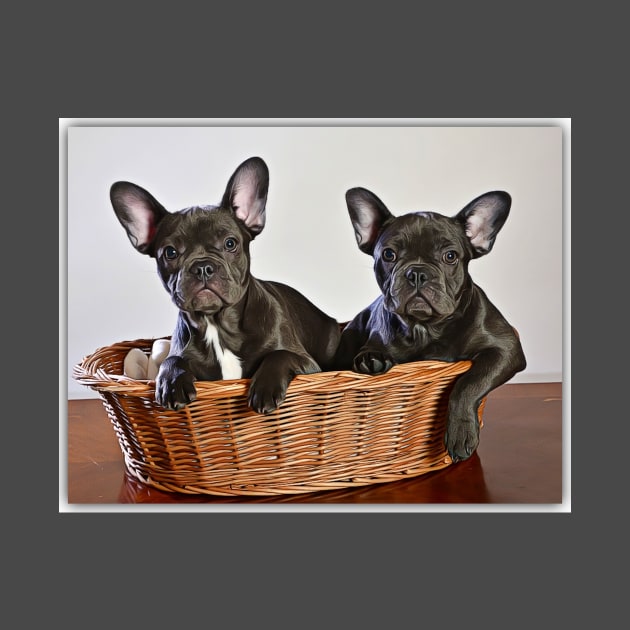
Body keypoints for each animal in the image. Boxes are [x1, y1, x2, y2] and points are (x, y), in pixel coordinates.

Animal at [111, 157, 344, 414]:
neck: (217, 323)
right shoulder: (181, 353)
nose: (202, 266)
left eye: (230, 243)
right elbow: (171, 360)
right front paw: (171, 382)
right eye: (170, 252)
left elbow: (280, 355)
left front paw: (265, 389)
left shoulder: (308, 364)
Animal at [336, 185, 528, 462]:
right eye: (389, 254)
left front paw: (461, 433)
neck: (425, 327)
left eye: (450, 256)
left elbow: (469, 382)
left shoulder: (505, 348)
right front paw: (372, 359)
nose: (417, 272)